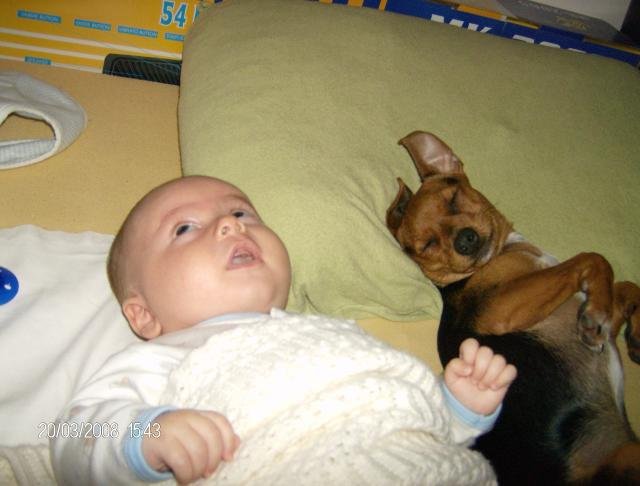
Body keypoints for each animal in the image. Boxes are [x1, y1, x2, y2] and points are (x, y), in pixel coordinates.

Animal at [386, 131, 640, 485]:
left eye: (453, 198)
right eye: (429, 244)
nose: (465, 240)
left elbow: (627, 287)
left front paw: (630, 331)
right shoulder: (497, 309)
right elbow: (591, 259)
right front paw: (596, 316)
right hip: (627, 455)